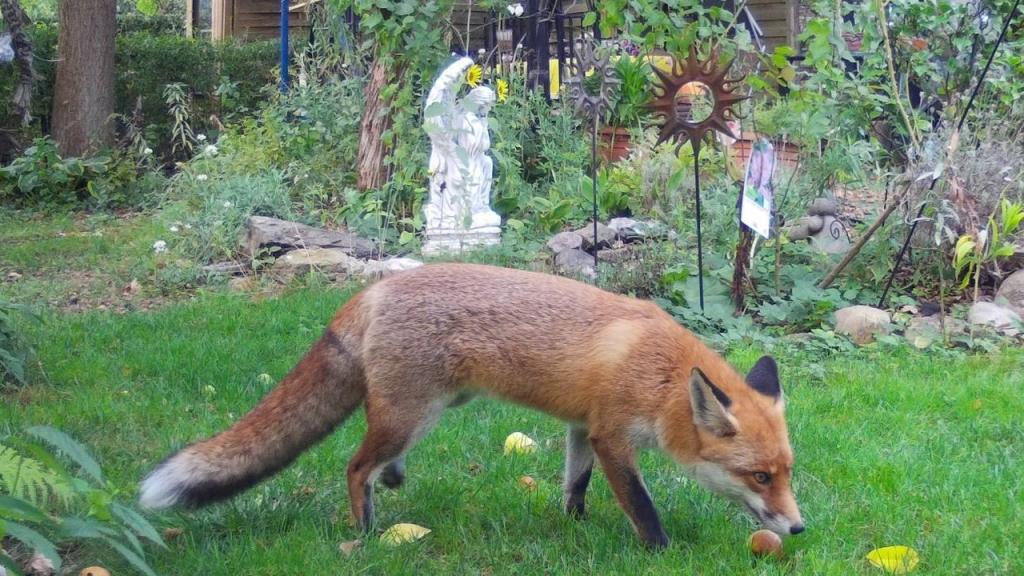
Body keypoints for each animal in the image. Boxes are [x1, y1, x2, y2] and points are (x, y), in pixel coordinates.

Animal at [140, 262, 802, 545]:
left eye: (788, 473)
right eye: (759, 476)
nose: (799, 527)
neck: (660, 374)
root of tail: (373, 289)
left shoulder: (581, 427)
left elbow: (574, 485)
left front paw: (576, 528)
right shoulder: (612, 435)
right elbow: (642, 506)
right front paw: (659, 552)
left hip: (426, 411)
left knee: (377, 461)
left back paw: (393, 482)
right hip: (413, 414)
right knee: (355, 466)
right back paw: (366, 532)